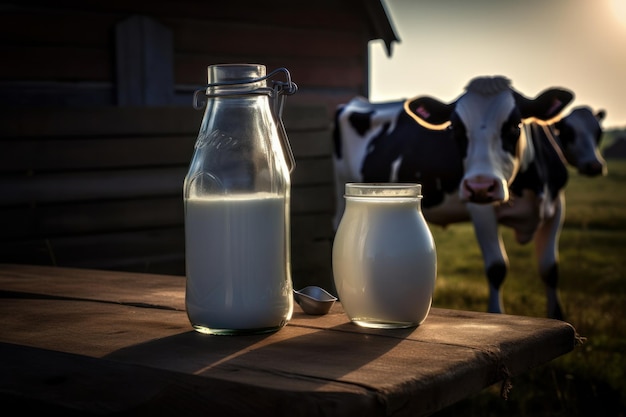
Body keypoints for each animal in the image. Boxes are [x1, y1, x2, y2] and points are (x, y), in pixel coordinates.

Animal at [334, 76, 604, 318]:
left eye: (515, 125)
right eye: (455, 129)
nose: (480, 185)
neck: (530, 184)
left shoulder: (556, 206)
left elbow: (550, 269)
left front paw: (557, 316)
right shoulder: (481, 209)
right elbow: (497, 268)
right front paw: (496, 314)